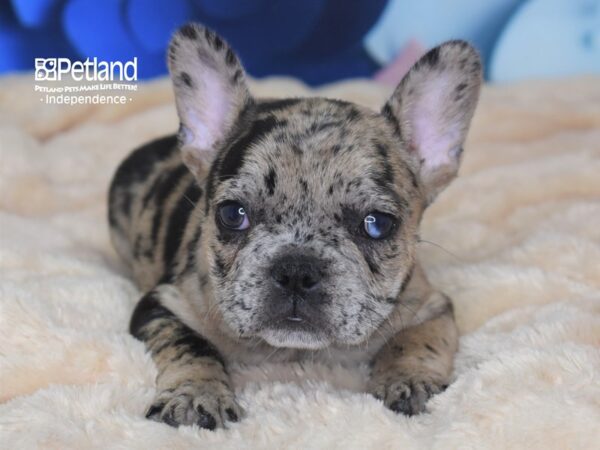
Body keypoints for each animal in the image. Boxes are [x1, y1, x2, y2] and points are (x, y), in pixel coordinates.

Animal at [109, 23, 482, 428]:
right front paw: (195, 394)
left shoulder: (429, 305)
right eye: (232, 214)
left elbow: (416, 340)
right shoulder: (165, 303)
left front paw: (411, 380)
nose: (296, 270)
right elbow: (191, 345)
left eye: (377, 224)